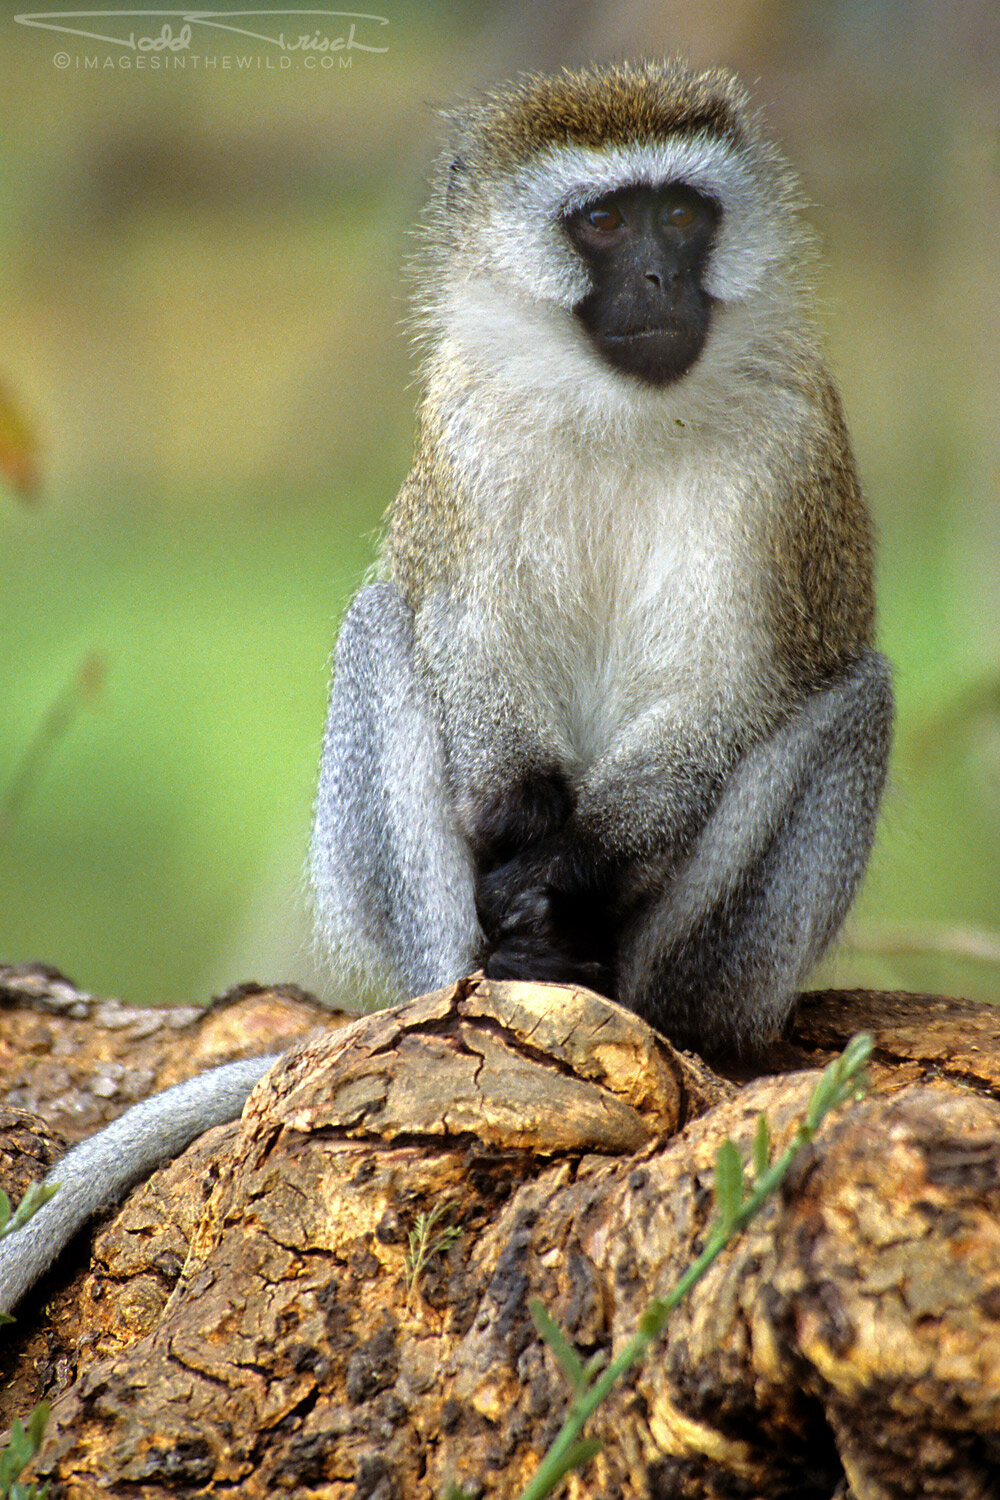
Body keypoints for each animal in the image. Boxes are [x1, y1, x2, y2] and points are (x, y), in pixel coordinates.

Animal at [0, 61, 893, 1314]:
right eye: (603, 223)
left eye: (682, 215)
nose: (660, 277)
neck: (620, 411)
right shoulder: (465, 421)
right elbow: (463, 631)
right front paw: (522, 852)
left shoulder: (790, 448)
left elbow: (733, 691)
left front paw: (564, 870)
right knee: (384, 625)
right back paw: (484, 982)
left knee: (856, 699)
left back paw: (630, 992)